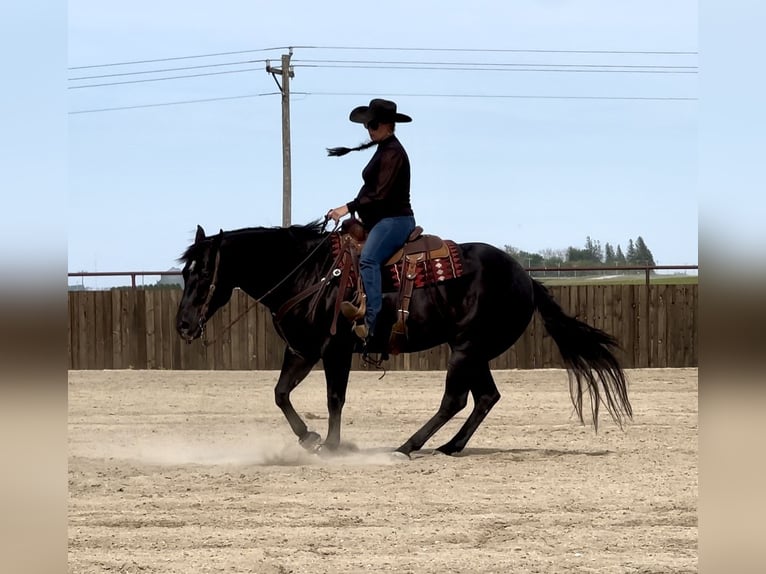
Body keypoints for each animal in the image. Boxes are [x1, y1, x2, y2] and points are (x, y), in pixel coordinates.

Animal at [177, 222, 632, 460]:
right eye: (183, 273)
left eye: (204, 273)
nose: (183, 325)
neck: (312, 273)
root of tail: (525, 278)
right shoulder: (302, 350)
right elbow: (280, 393)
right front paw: (308, 438)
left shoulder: (335, 350)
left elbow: (334, 398)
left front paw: (332, 445)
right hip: (474, 351)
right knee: (485, 397)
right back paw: (449, 446)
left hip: (465, 348)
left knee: (455, 399)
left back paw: (409, 445)